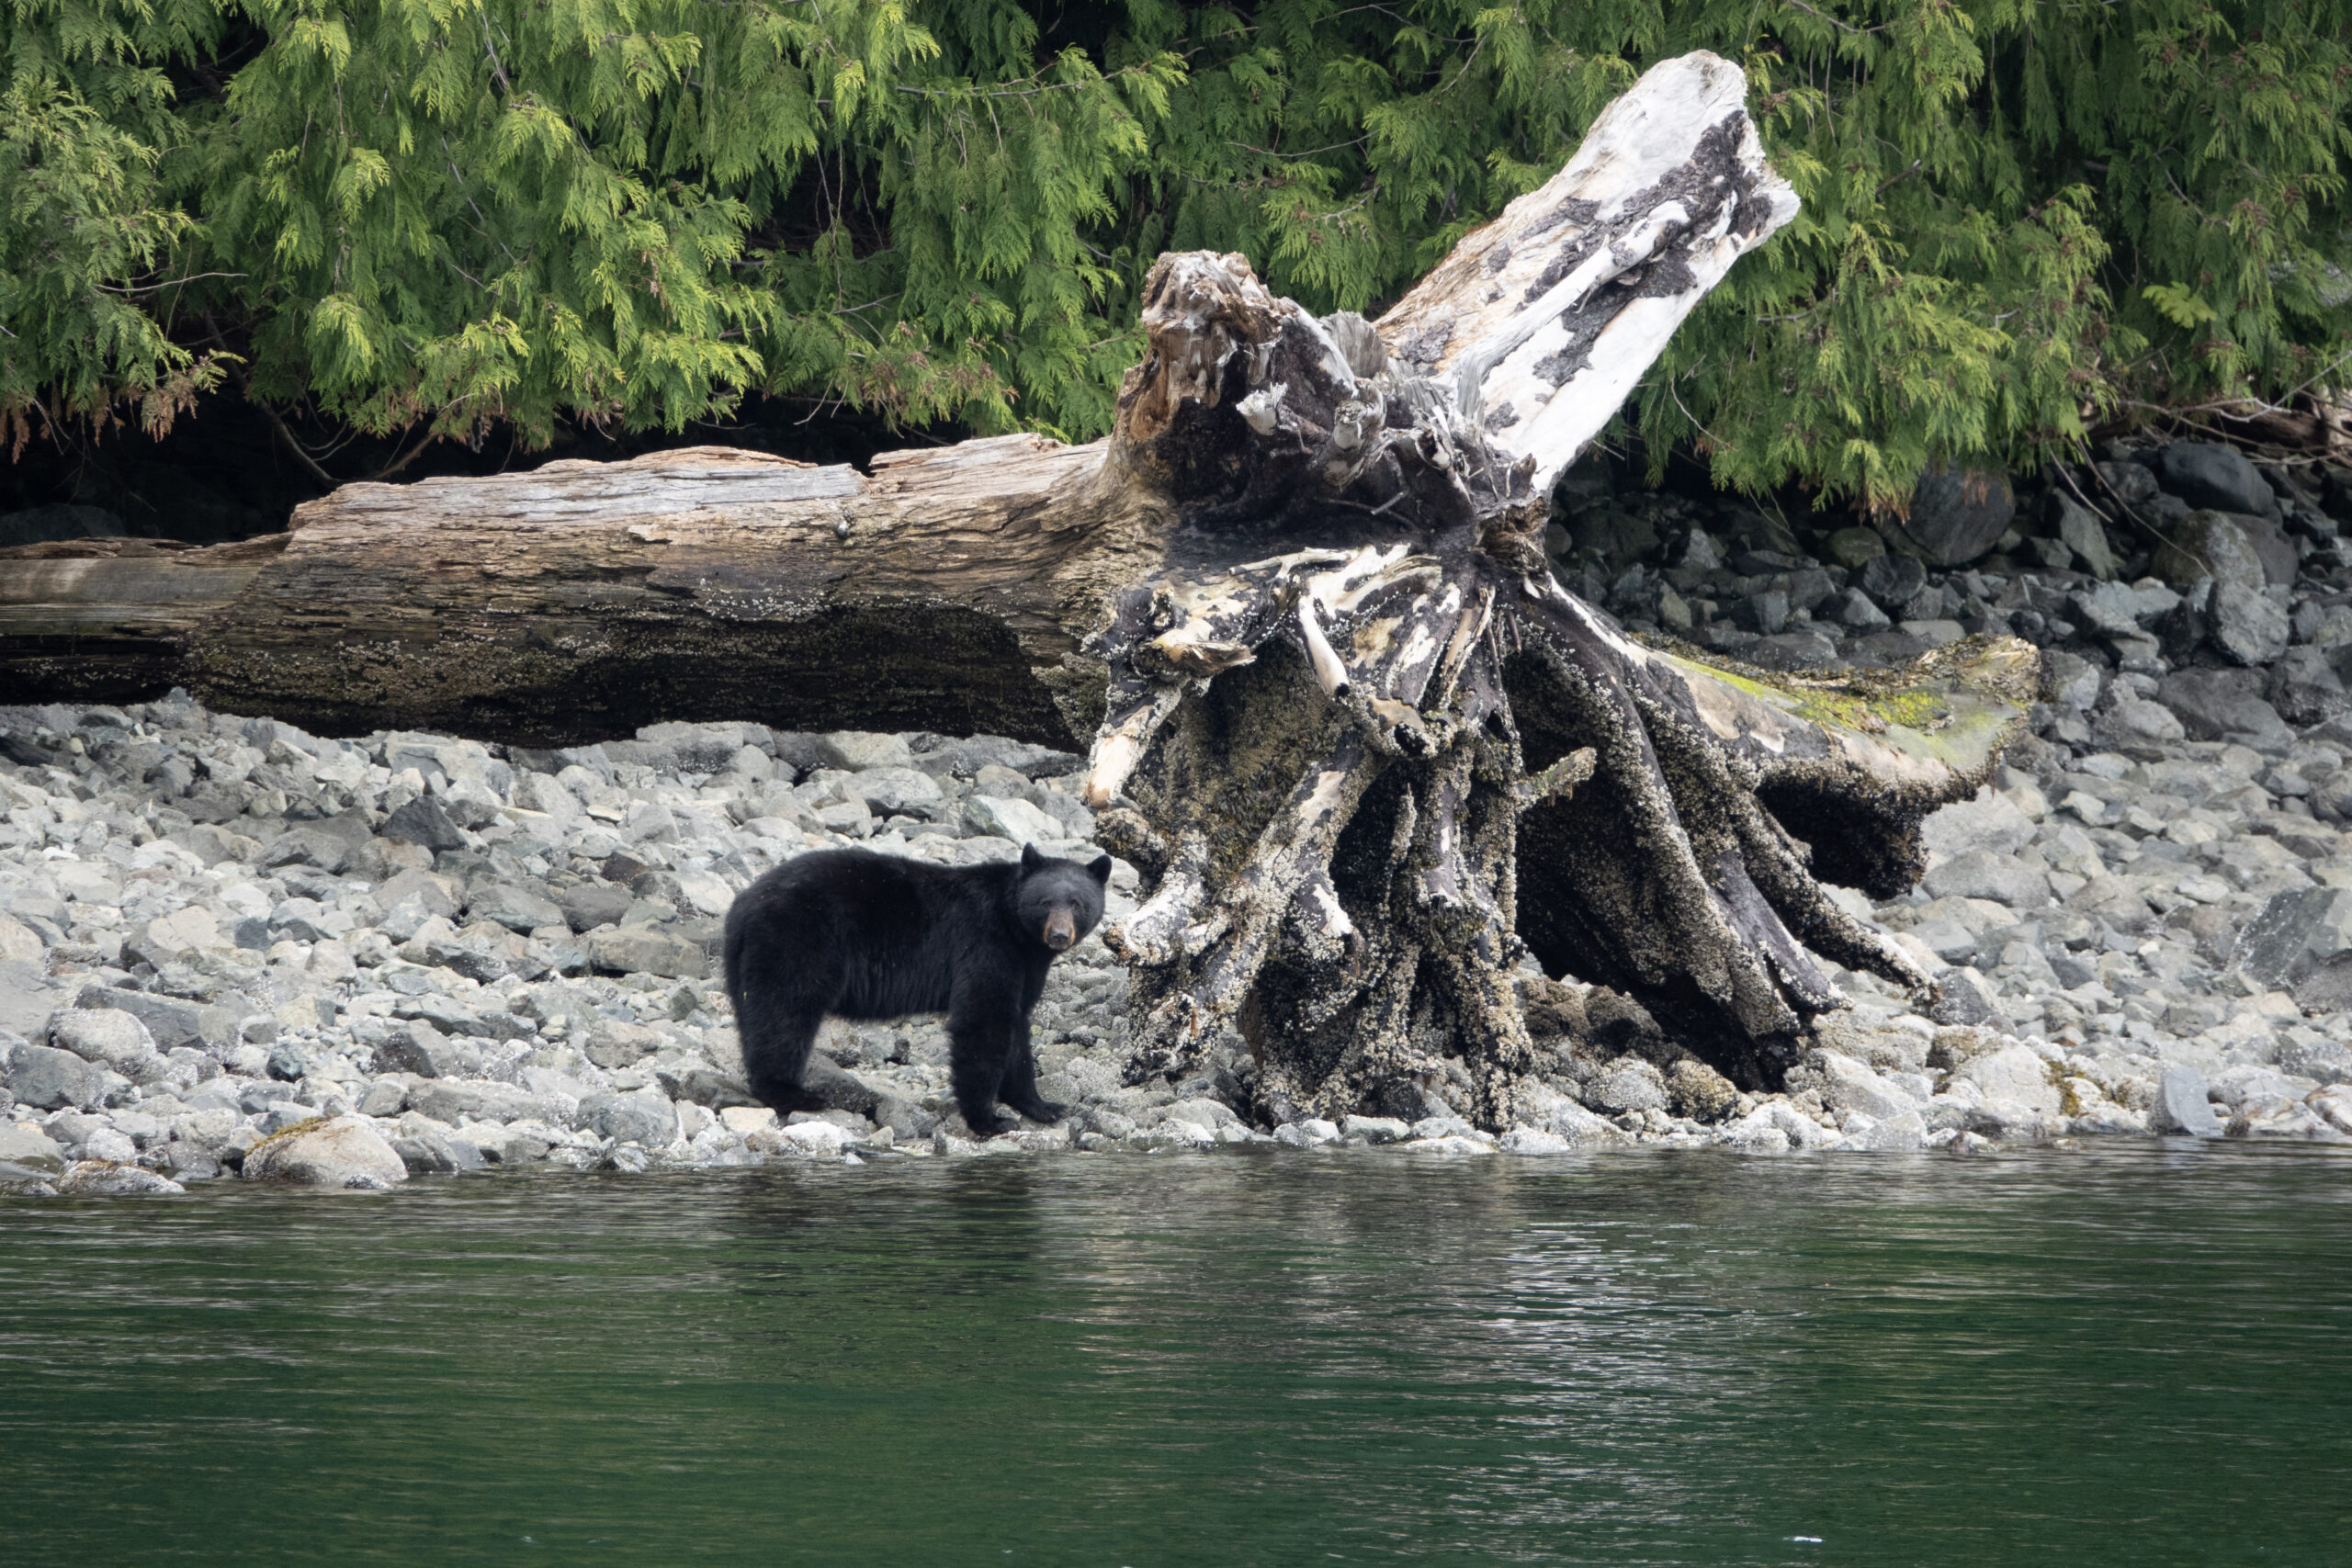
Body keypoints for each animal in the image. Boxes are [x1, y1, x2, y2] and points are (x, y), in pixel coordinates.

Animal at [722, 843, 1112, 1137]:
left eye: (1077, 903)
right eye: (1046, 902)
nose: (1058, 935)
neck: (1015, 927)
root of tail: (744, 903)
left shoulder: (1026, 963)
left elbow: (1016, 1025)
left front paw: (1042, 1106)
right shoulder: (985, 945)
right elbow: (983, 1021)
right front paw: (988, 1119)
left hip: (747, 958)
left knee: (756, 1013)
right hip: (798, 940)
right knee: (786, 1011)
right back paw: (793, 1094)